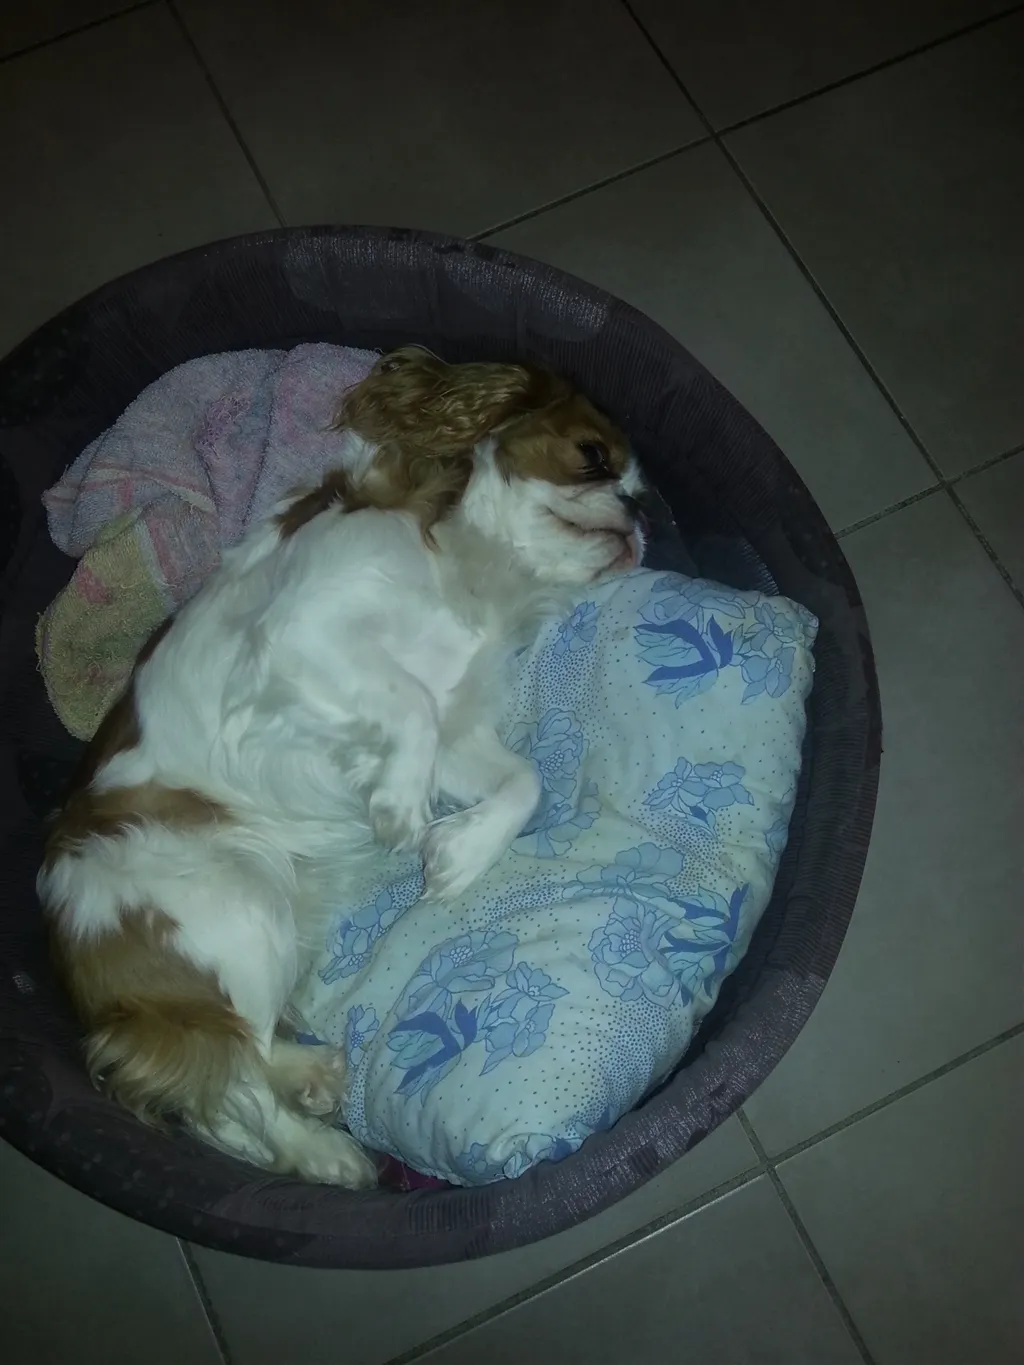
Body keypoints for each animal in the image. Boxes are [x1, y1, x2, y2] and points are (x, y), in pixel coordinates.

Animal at [38, 347, 645, 1187]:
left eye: (640, 494)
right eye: (593, 457)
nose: (638, 518)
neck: (477, 572)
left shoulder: (457, 729)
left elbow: (524, 779)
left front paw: (459, 854)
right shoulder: (306, 635)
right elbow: (408, 703)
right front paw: (401, 809)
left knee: (244, 1053)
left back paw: (311, 1079)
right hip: (235, 905)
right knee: (224, 1093)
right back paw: (323, 1153)